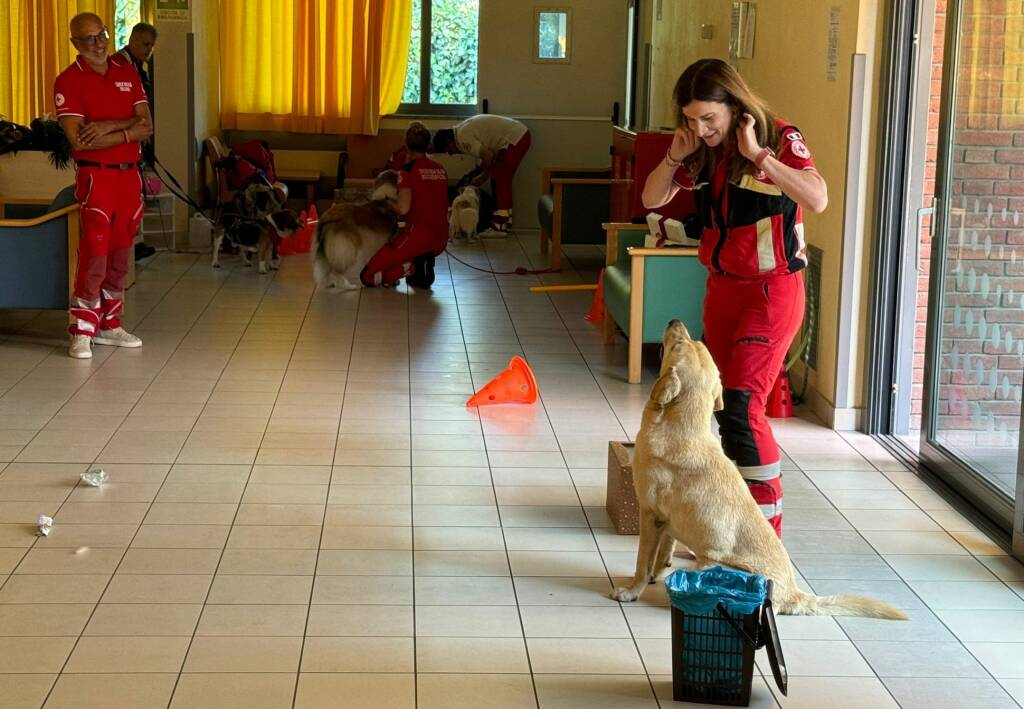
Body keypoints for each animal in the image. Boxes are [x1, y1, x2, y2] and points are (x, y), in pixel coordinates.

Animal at [610, 321, 909, 618]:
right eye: (694, 343)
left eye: (679, 344)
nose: (676, 322)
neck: (683, 427)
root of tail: (795, 595)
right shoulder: (669, 521)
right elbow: (663, 553)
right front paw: (657, 574)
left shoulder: (650, 514)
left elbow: (642, 561)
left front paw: (631, 590)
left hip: (715, 566)